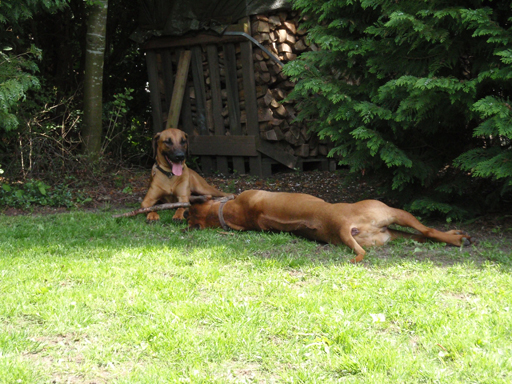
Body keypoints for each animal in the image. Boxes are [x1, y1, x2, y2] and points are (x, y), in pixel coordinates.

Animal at [184, 190, 472, 262]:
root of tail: (342, 224)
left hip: (389, 232)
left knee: (424, 236)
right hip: (394, 213)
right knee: (428, 231)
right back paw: (459, 238)